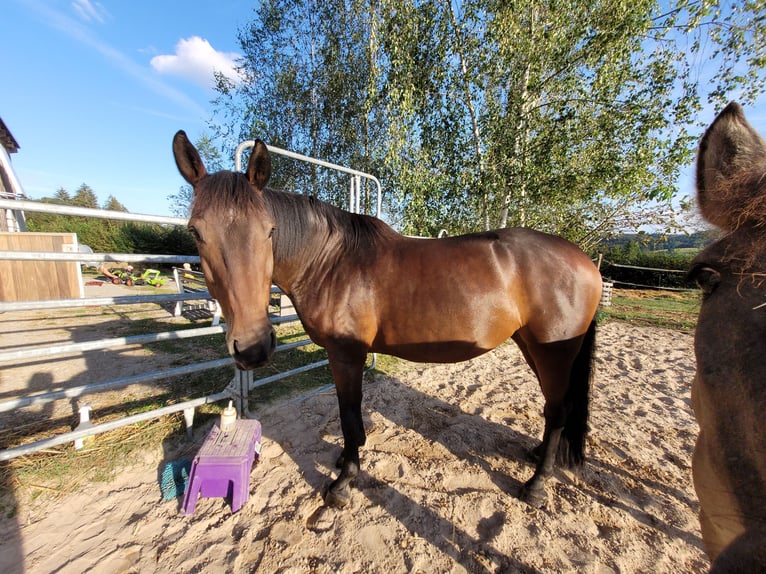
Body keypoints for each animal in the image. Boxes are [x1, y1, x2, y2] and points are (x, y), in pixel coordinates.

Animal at [174, 133, 608, 510]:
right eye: (195, 231)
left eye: (270, 230)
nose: (252, 347)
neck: (329, 262)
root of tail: (586, 261)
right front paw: (347, 458)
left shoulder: (346, 355)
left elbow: (349, 414)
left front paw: (344, 481)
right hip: (533, 347)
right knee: (556, 405)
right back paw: (537, 455)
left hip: (553, 351)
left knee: (558, 410)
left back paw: (536, 485)